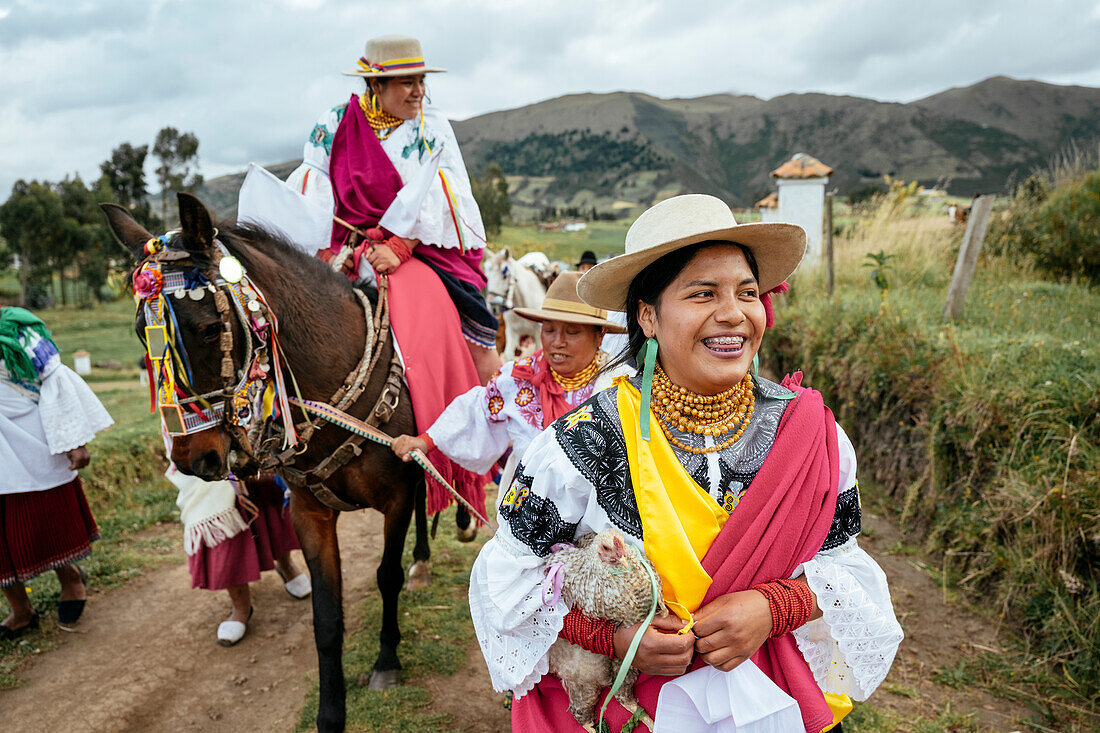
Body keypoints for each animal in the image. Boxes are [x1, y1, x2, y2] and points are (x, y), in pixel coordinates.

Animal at [101, 192, 431, 730]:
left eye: (209, 329)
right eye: (139, 335)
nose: (192, 460)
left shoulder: (397, 496)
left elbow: (387, 576)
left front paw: (386, 661)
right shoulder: (309, 512)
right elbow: (325, 617)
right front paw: (330, 713)